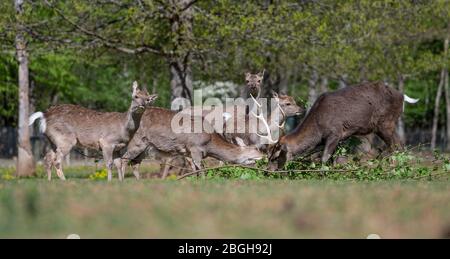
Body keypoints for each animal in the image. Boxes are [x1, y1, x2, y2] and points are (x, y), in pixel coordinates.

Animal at [268, 82, 418, 171]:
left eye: (275, 157)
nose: (268, 171)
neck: (318, 130)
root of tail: (403, 96)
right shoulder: (336, 138)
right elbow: (329, 158)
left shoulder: (335, 132)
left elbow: (324, 157)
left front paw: (323, 173)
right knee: (400, 145)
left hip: (385, 123)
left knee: (395, 146)